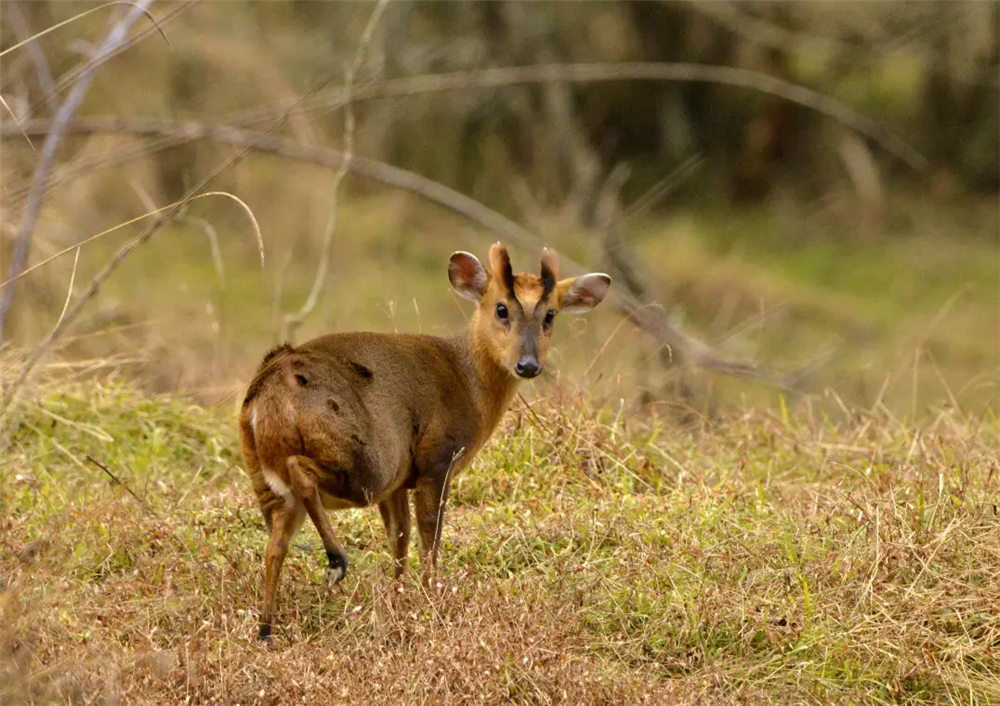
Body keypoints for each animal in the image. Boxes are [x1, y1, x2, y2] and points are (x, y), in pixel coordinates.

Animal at [238, 242, 608, 640]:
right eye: (501, 308)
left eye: (550, 314)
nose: (528, 365)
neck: (468, 380)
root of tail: (269, 392)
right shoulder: (437, 460)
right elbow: (429, 537)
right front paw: (432, 598)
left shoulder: (401, 482)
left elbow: (399, 538)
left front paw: (398, 597)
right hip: (365, 462)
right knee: (301, 473)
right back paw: (336, 562)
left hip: (269, 481)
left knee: (274, 545)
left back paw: (265, 629)